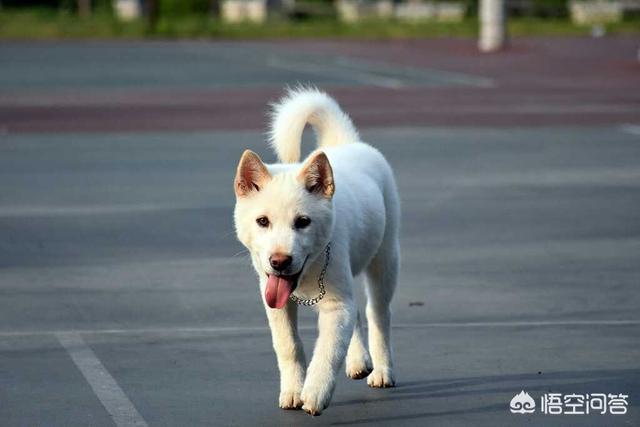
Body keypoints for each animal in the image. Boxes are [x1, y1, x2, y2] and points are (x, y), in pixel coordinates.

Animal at [232, 88, 398, 416]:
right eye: (262, 221)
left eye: (303, 222)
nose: (279, 262)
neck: (311, 269)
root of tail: (344, 143)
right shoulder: (276, 301)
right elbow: (289, 346)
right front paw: (293, 391)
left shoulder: (335, 305)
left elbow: (328, 351)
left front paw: (315, 393)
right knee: (358, 311)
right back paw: (358, 361)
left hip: (385, 260)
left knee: (377, 314)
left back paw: (382, 370)